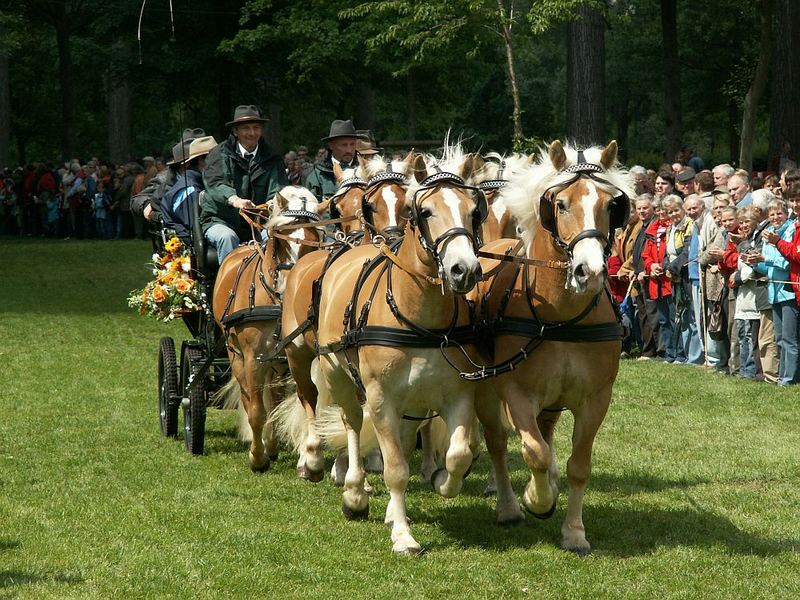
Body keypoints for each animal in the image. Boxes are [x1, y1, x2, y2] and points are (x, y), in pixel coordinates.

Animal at [211, 188, 330, 474]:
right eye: (279, 242)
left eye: (316, 241)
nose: (294, 288)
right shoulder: (253, 357)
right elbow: (256, 411)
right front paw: (257, 458)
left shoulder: (296, 356)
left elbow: (299, 401)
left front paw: (304, 456)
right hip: (236, 355)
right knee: (249, 398)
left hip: (277, 363)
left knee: (274, 400)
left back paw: (273, 445)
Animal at [274, 155, 412, 482]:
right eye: (369, 204)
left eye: (407, 201)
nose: (391, 237)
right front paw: (342, 465)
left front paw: (364, 460)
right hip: (297, 352)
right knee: (309, 396)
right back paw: (310, 457)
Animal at [310, 144, 520, 552]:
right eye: (423, 211)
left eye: (474, 211)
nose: (464, 270)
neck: (421, 317)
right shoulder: (380, 399)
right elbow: (394, 470)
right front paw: (403, 536)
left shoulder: (457, 395)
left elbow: (459, 453)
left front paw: (441, 482)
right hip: (339, 376)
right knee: (352, 425)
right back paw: (355, 492)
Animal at [472, 139, 636, 552]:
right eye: (560, 204)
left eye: (611, 205)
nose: (590, 272)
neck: (561, 316)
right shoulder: (515, 391)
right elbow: (533, 452)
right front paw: (536, 499)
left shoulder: (596, 398)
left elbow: (579, 465)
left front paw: (574, 531)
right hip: (485, 388)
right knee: (497, 441)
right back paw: (508, 504)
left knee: (544, 431)